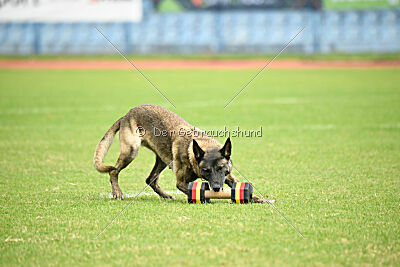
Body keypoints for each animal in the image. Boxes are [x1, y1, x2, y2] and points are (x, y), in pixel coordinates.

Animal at [92, 104, 264, 203]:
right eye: (206, 170)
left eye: (222, 169)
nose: (216, 188)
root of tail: (126, 115)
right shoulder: (181, 183)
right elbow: (198, 190)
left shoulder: (228, 176)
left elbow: (236, 182)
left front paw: (257, 198)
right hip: (131, 150)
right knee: (113, 171)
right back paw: (117, 192)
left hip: (161, 159)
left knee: (150, 179)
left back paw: (165, 196)